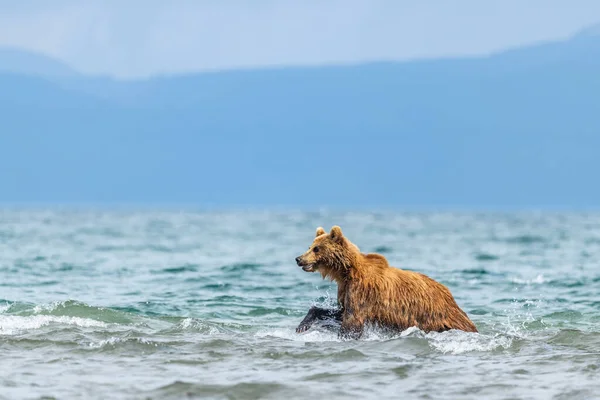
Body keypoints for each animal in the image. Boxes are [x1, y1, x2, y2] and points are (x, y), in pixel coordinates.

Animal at [296, 225, 478, 338]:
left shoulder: (361, 291)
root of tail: (450, 295)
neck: (345, 271)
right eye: (309, 246)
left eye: (316, 248)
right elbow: (337, 312)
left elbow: (352, 321)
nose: (299, 259)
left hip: (439, 317)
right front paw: (302, 325)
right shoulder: (346, 290)